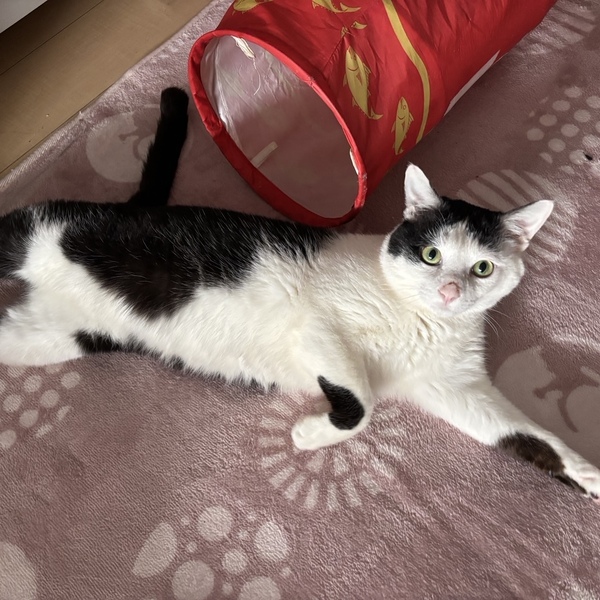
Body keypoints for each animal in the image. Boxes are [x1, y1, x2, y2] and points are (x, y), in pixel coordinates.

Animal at [1, 87, 599, 501]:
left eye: (482, 267)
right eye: (431, 255)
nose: (450, 290)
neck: (422, 324)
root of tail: (134, 208)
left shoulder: (458, 388)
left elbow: (528, 436)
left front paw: (588, 475)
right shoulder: (320, 327)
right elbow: (363, 403)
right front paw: (311, 434)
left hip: (51, 338)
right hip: (36, 232)